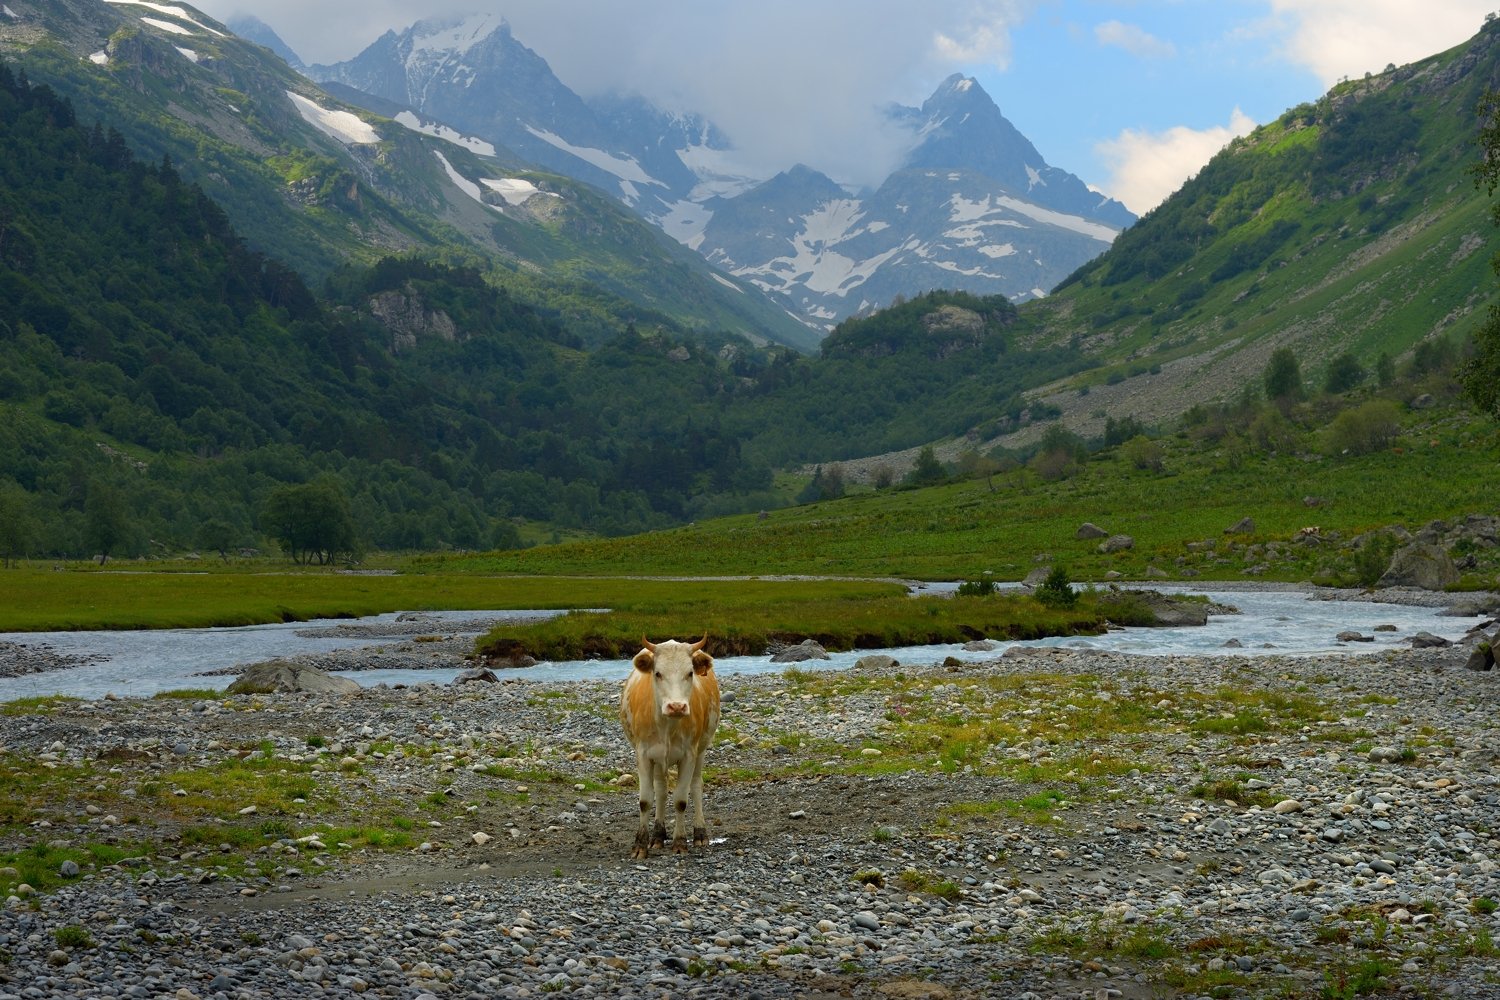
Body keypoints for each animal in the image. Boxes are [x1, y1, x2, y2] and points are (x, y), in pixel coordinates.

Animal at [615, 638, 720, 857]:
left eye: (690, 673)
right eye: (658, 673)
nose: (677, 706)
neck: (667, 725)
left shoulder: (689, 755)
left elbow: (681, 800)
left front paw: (680, 842)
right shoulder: (644, 754)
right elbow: (646, 800)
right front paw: (640, 845)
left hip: (702, 749)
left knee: (696, 786)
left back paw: (700, 833)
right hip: (658, 759)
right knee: (661, 790)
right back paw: (657, 836)